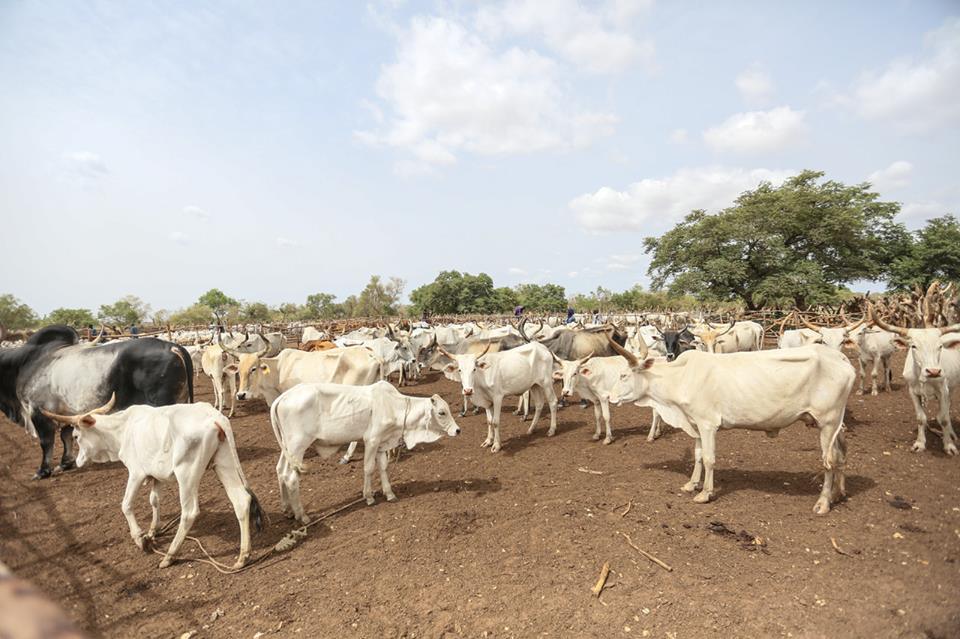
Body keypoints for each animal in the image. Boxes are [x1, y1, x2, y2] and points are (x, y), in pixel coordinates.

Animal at [0, 328, 195, 478]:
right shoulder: (67, 411)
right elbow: (66, 435)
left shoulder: (36, 411)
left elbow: (46, 441)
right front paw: (65, 463)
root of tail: (172, 347)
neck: (24, 364)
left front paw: (42, 471)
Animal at [41, 400, 262, 568]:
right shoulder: (157, 476)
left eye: (76, 436)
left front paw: (140, 538)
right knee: (241, 500)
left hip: (187, 473)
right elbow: (154, 500)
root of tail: (215, 417)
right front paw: (153, 531)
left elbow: (126, 504)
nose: (77, 462)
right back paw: (243, 556)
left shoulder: (136, 473)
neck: (122, 430)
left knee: (189, 512)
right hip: (223, 462)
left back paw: (169, 556)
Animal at [268, 382, 460, 524]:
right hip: (298, 445)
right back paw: (303, 516)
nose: (458, 430)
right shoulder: (371, 440)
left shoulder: (382, 443)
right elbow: (368, 468)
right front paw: (369, 497)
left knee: (280, 470)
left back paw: (287, 510)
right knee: (291, 477)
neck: (393, 406)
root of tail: (282, 397)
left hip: (288, 448)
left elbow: (383, 467)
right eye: (442, 412)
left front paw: (389, 494)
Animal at [608, 340, 856, 516]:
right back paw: (838, 494)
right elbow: (698, 455)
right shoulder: (695, 423)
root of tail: (840, 358)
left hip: (828, 421)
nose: (609, 397)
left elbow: (709, 459)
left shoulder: (708, 424)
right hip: (834, 424)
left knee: (828, 461)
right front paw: (691, 484)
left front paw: (705, 493)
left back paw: (823, 503)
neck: (680, 378)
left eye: (623, 375)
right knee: (840, 452)